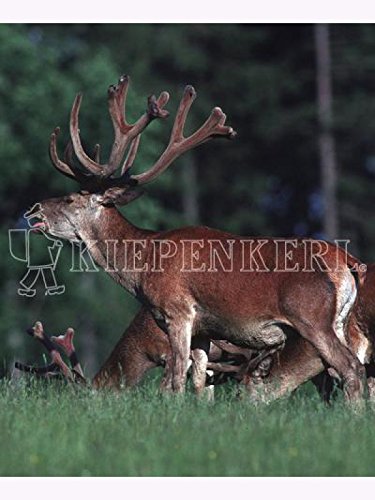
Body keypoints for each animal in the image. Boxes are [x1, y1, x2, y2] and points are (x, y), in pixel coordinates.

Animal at [30, 75, 368, 402]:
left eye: (71, 199)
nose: (35, 210)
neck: (142, 266)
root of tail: (347, 261)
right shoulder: (204, 331)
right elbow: (197, 383)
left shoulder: (178, 310)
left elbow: (175, 380)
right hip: (340, 321)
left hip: (311, 317)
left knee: (350, 367)